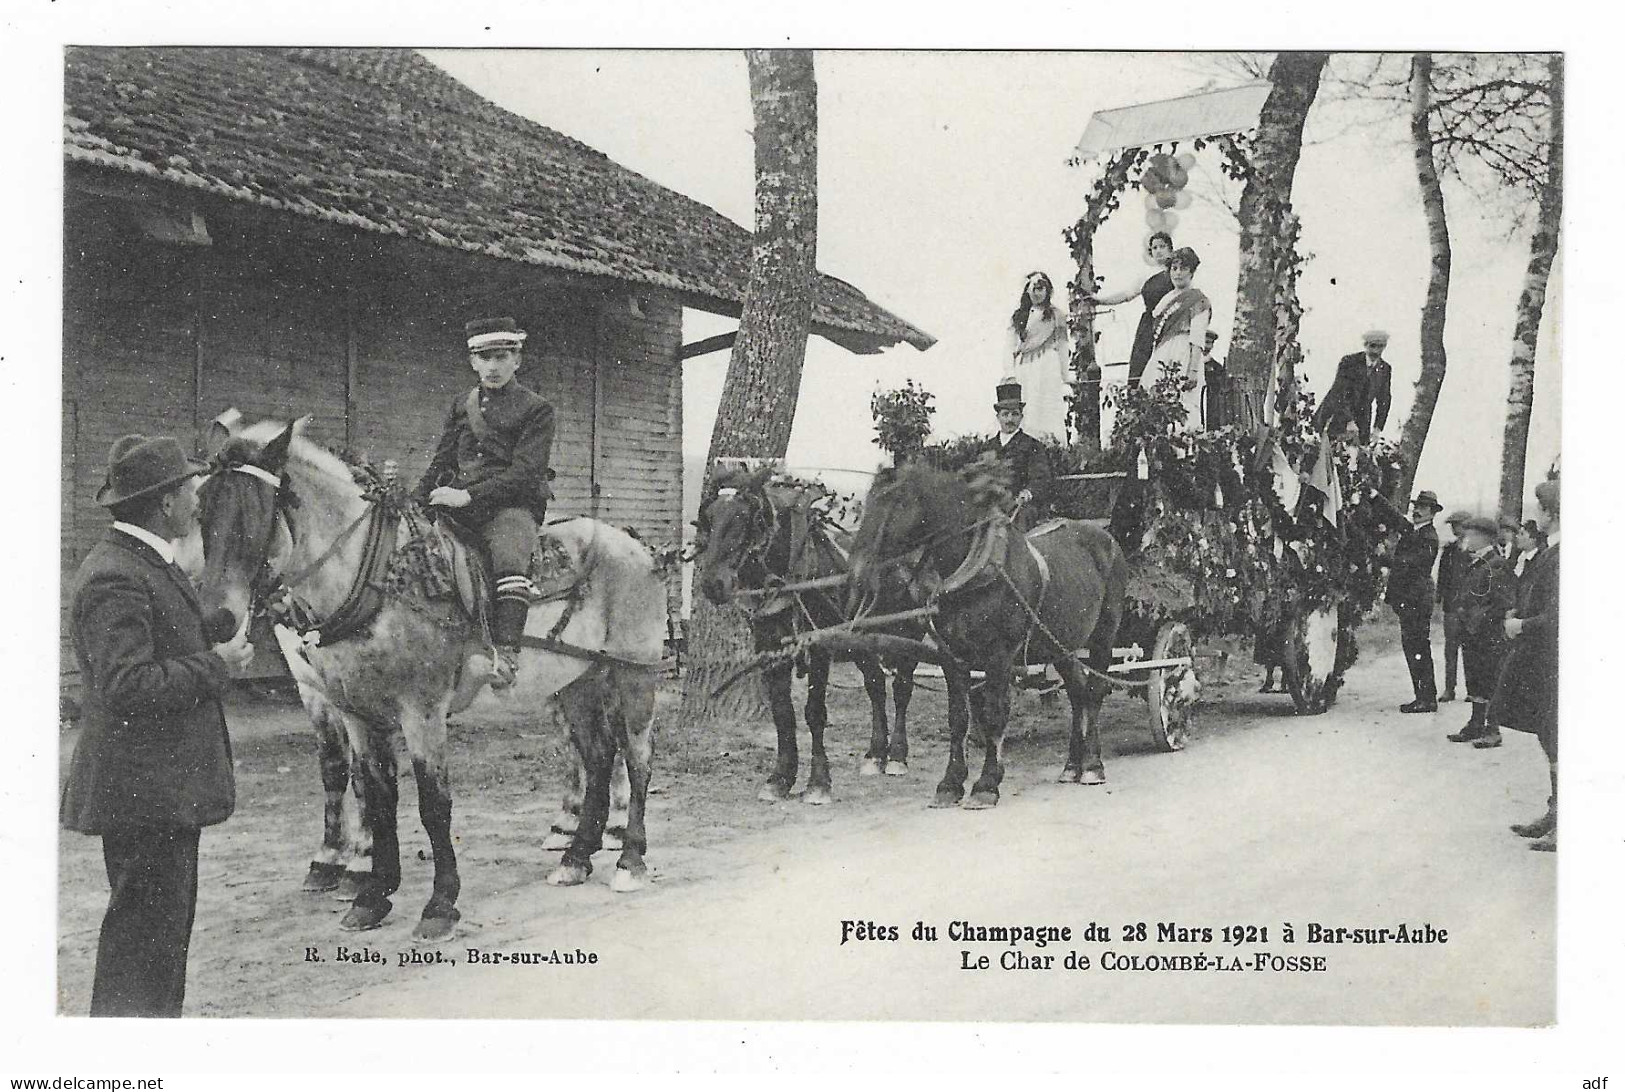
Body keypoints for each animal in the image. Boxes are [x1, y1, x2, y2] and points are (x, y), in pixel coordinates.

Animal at [195, 414, 666, 942]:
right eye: (202, 508)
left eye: (254, 512)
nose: (215, 619)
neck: (377, 575)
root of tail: (639, 547)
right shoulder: (356, 712)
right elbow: (376, 796)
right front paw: (372, 893)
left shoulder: (421, 711)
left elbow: (432, 803)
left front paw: (440, 903)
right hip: (576, 683)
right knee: (600, 756)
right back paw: (576, 857)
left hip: (633, 675)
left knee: (638, 758)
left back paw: (630, 859)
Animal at [692, 468, 949, 802]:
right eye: (709, 518)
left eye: (745, 517)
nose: (713, 584)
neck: (790, 577)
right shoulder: (770, 649)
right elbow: (783, 714)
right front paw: (780, 779)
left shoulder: (819, 648)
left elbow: (814, 713)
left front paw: (818, 783)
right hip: (860, 642)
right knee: (875, 685)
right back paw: (875, 755)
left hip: (912, 633)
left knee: (902, 688)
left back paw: (896, 756)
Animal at [845, 455, 1124, 806]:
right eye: (869, 501)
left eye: (895, 502)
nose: (857, 573)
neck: (974, 569)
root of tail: (1105, 537)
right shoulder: (952, 657)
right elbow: (957, 717)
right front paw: (950, 783)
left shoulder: (999, 657)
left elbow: (993, 713)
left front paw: (987, 784)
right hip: (1061, 645)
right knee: (1077, 692)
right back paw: (1072, 765)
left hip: (1104, 636)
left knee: (1095, 692)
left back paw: (1092, 764)